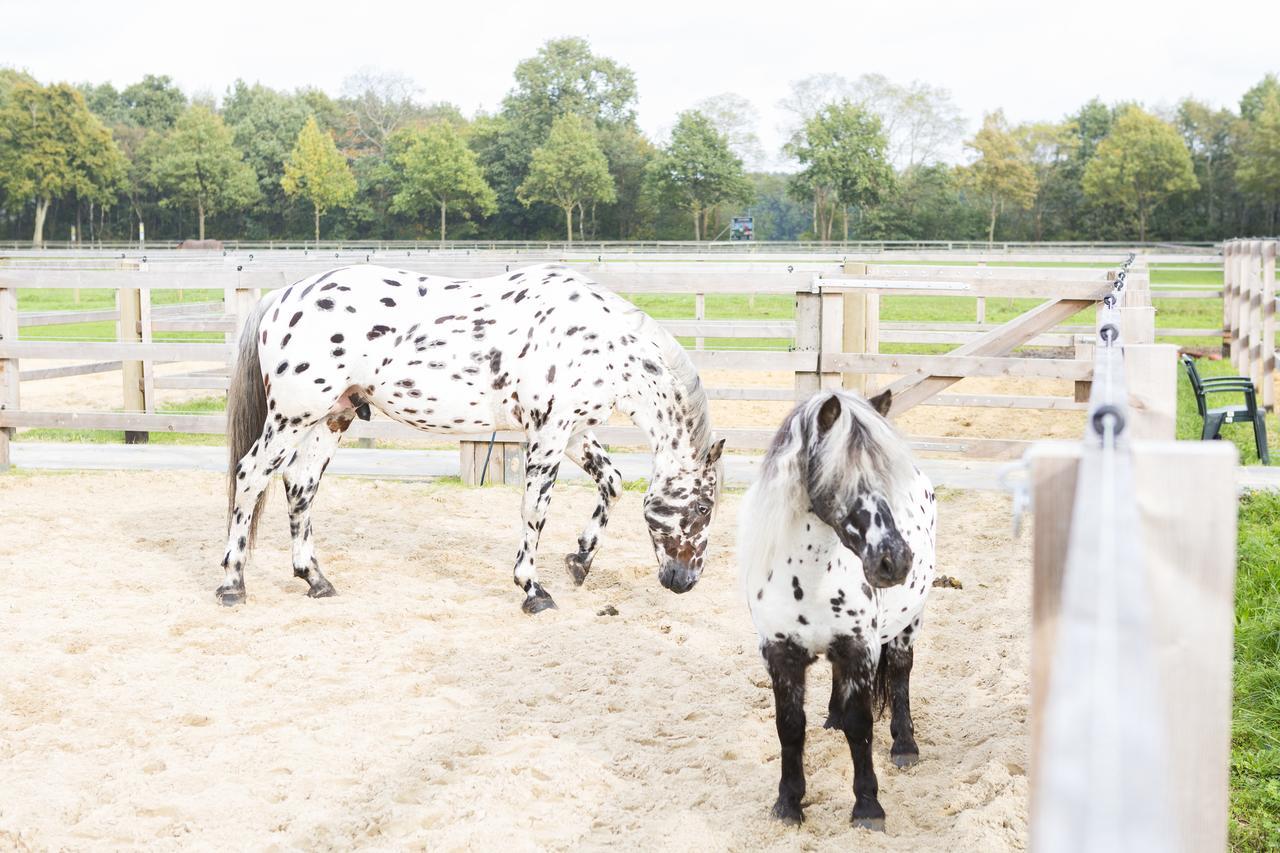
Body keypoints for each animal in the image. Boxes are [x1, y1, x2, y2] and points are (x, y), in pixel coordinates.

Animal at [215, 263, 727, 612]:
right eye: (704, 507)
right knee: (251, 475)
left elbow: (612, 482)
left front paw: (580, 560)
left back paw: (315, 579)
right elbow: (534, 509)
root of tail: (283, 297)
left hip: (330, 418)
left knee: (300, 487)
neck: (601, 342)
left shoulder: (573, 430)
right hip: (291, 417)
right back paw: (233, 584)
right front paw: (533, 589)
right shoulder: (548, 432)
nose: (684, 581)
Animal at [737, 389, 936, 829]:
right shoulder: (780, 656)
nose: (894, 560)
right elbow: (790, 728)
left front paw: (867, 806)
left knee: (900, 672)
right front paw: (788, 804)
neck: (809, 579)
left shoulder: (860, 650)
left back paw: (905, 745)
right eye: (838, 476)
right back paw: (832, 719)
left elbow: (860, 727)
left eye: (885, 478)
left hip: (909, 622)